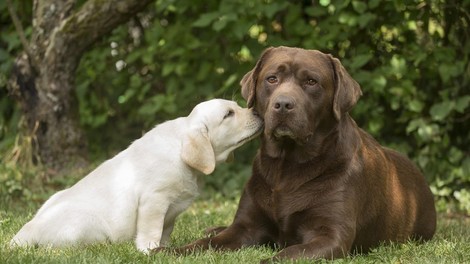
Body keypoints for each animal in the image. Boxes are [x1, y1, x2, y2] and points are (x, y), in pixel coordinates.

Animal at [10, 98, 264, 252]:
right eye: (228, 114)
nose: (259, 111)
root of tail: (24, 233)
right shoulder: (154, 200)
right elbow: (151, 229)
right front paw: (149, 250)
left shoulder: (170, 212)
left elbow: (165, 230)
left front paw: (164, 248)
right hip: (84, 226)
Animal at [159, 47, 436, 262]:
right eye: (272, 79)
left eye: (311, 82)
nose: (283, 104)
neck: (287, 165)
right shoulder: (246, 226)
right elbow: (204, 245)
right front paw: (169, 252)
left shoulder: (331, 236)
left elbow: (285, 255)